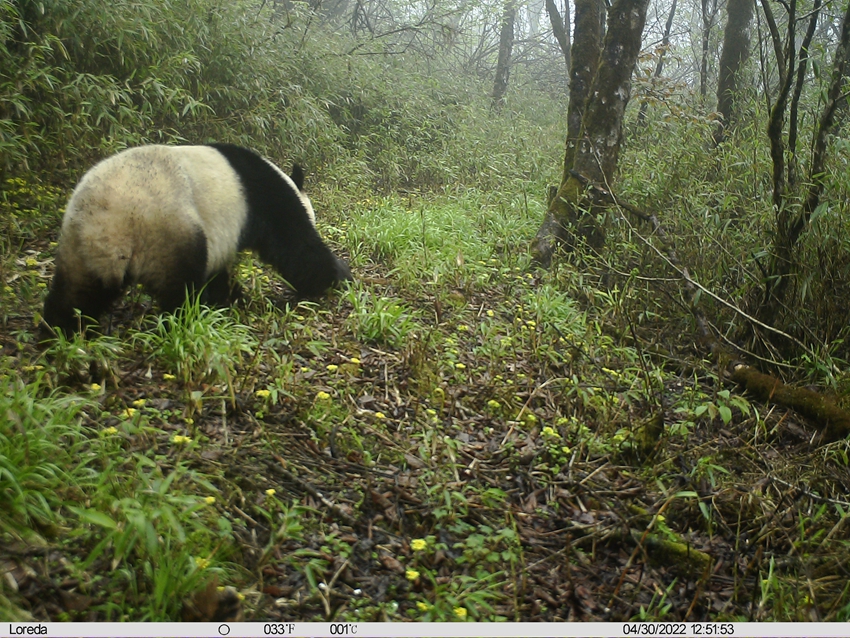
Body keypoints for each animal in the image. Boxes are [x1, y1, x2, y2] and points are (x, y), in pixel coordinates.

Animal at [40, 144, 348, 336]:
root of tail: (113, 219)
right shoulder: (265, 201)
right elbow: (294, 245)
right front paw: (337, 276)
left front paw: (231, 296)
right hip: (170, 227)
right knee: (181, 283)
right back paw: (187, 318)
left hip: (80, 242)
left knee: (79, 292)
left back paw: (59, 332)